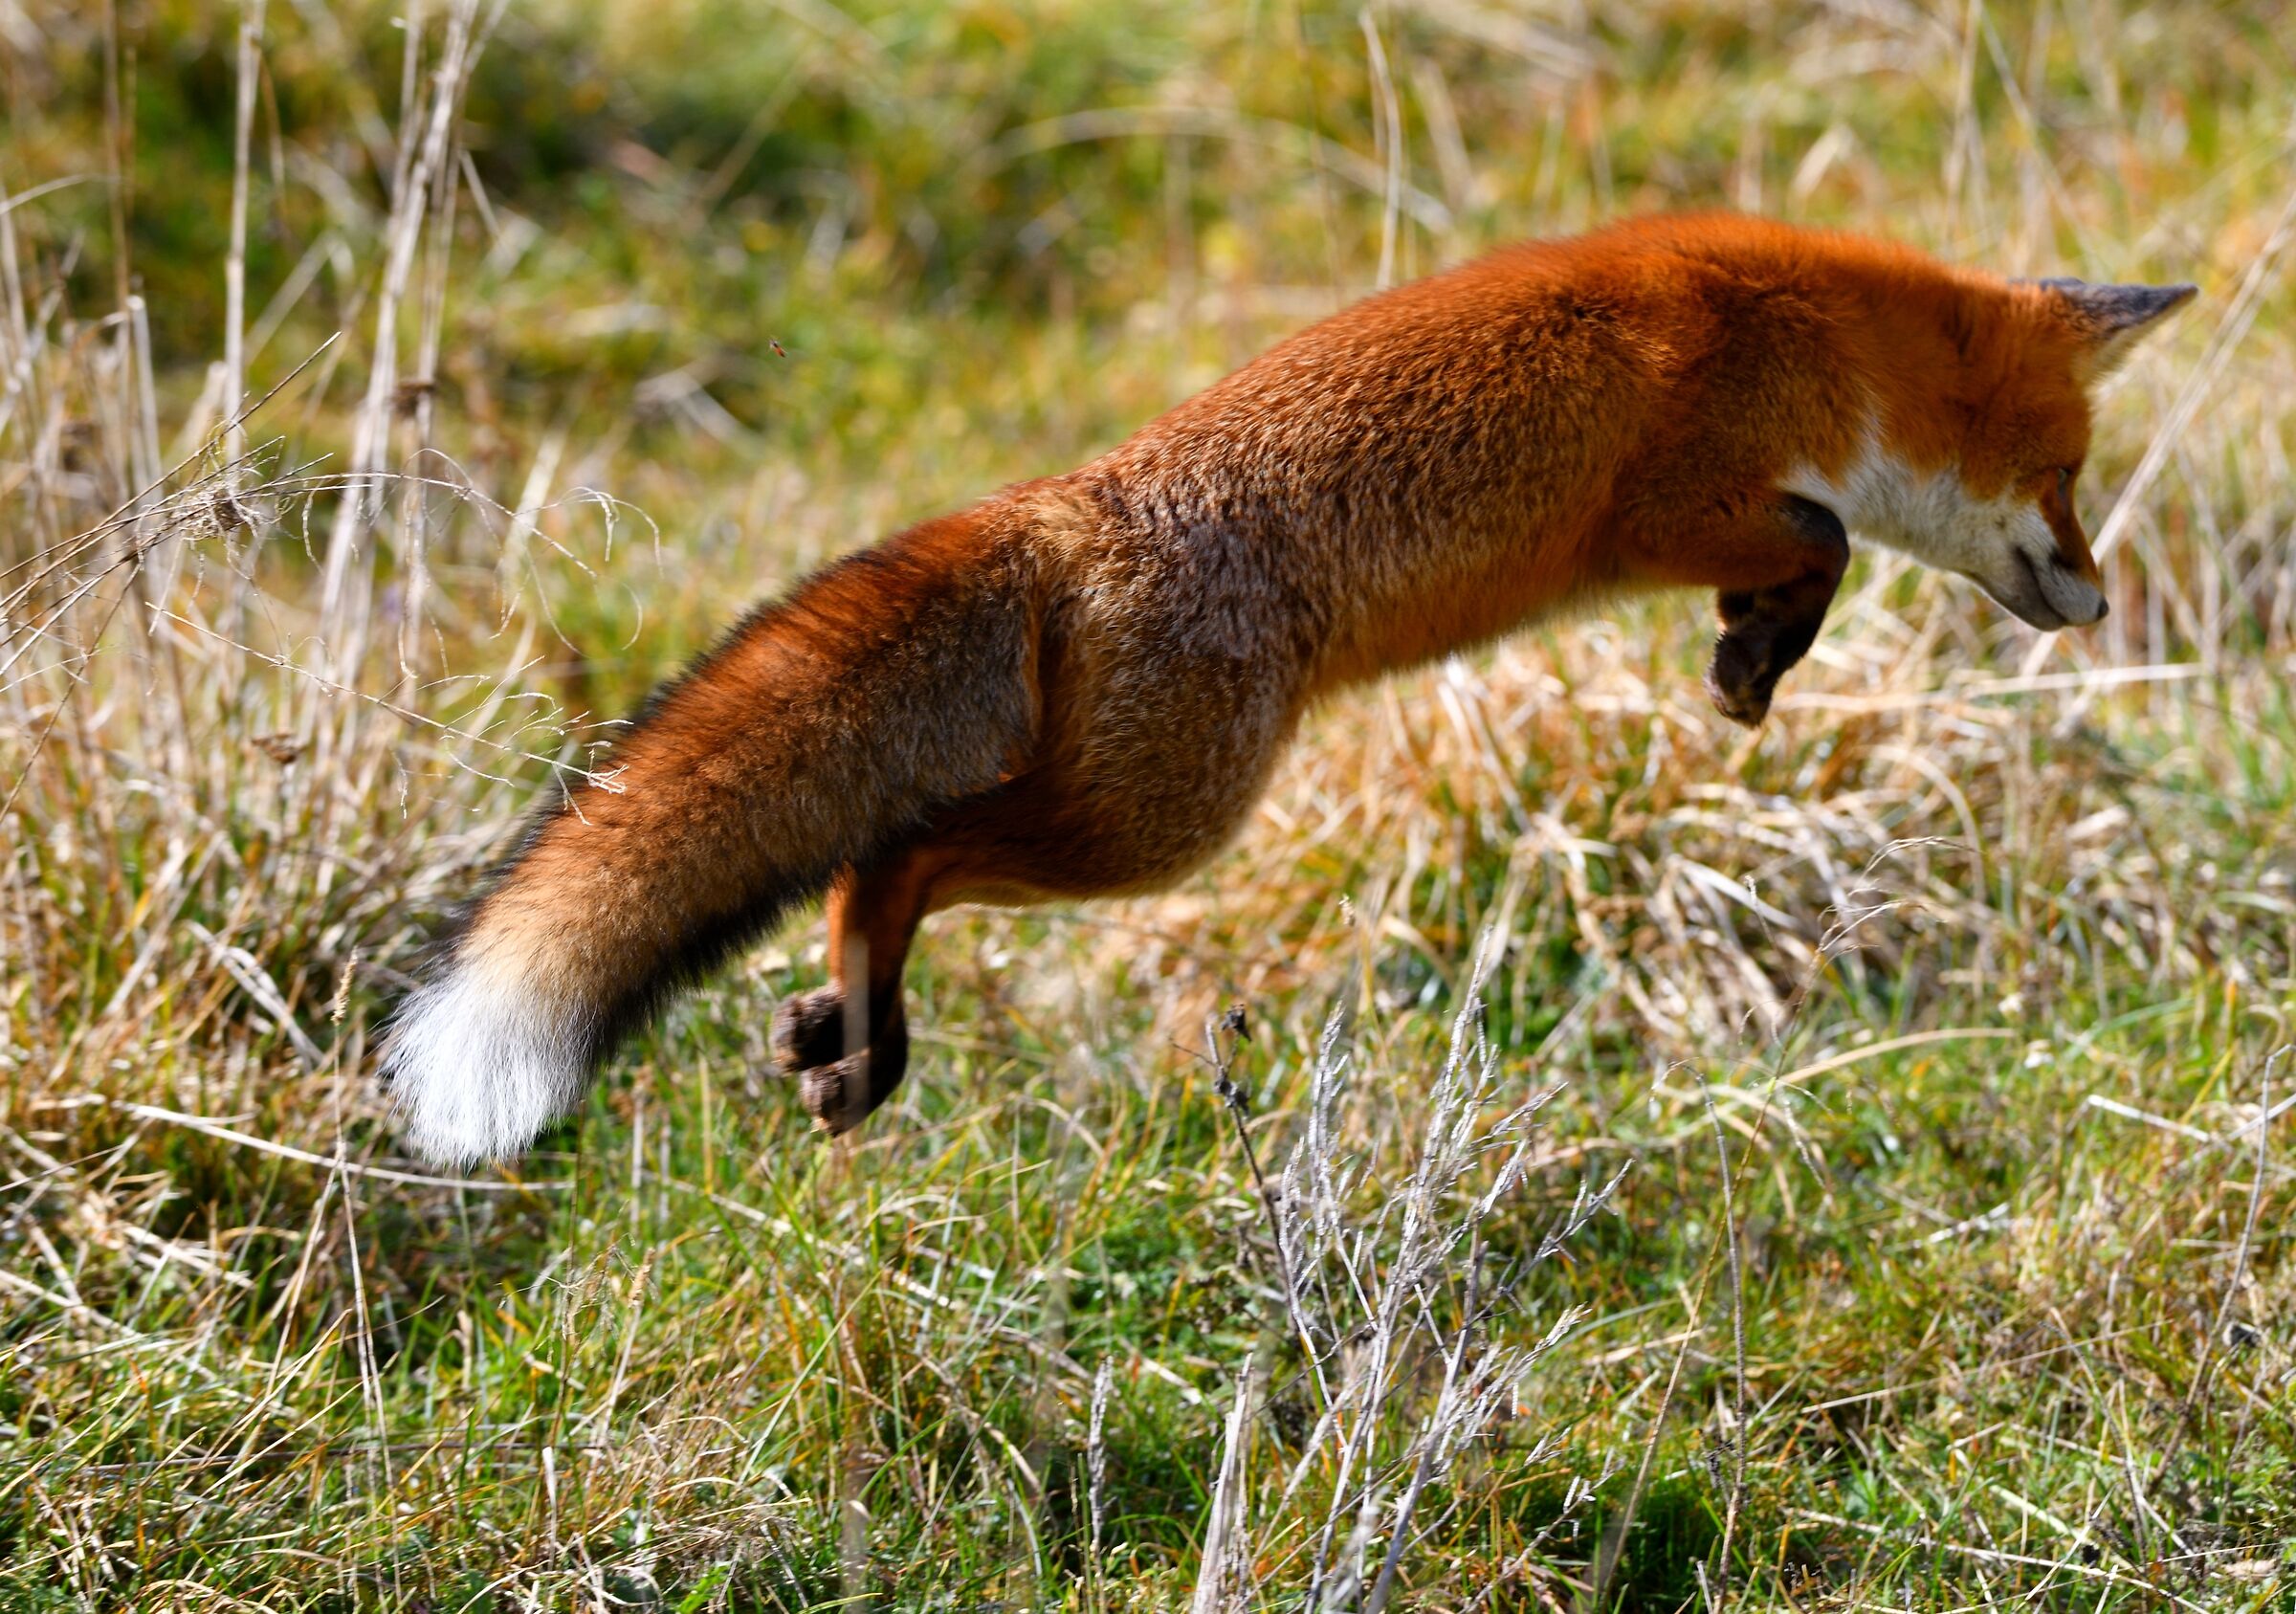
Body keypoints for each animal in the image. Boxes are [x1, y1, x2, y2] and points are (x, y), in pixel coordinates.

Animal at [381, 213, 2193, 1165]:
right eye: (2068, 472)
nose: (2100, 597)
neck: (1810, 331)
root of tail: (1066, 502)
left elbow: (1815, 552)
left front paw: (1755, 648)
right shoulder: (1668, 498)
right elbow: (1824, 537)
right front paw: (1757, 655)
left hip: (1136, 807)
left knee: (884, 861)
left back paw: (843, 1029)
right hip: (1166, 822)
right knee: (890, 852)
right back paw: (865, 1028)